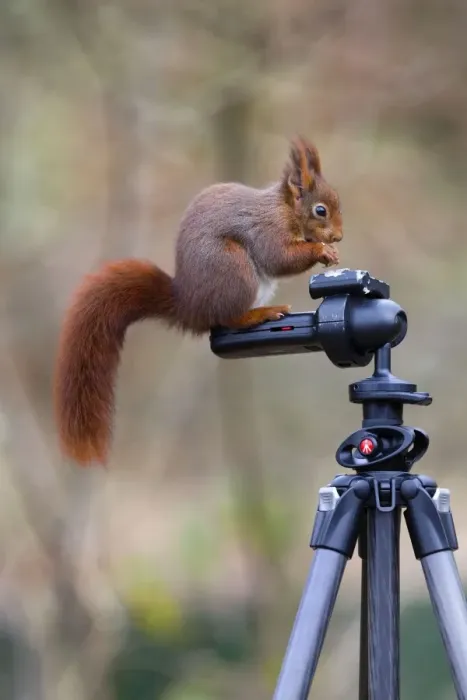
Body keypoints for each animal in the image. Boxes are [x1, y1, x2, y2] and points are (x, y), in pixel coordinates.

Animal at [53, 136, 343, 467]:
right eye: (320, 210)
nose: (339, 237)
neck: (284, 209)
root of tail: (189, 306)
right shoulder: (266, 230)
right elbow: (278, 257)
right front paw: (321, 250)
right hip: (234, 268)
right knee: (227, 319)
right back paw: (261, 314)